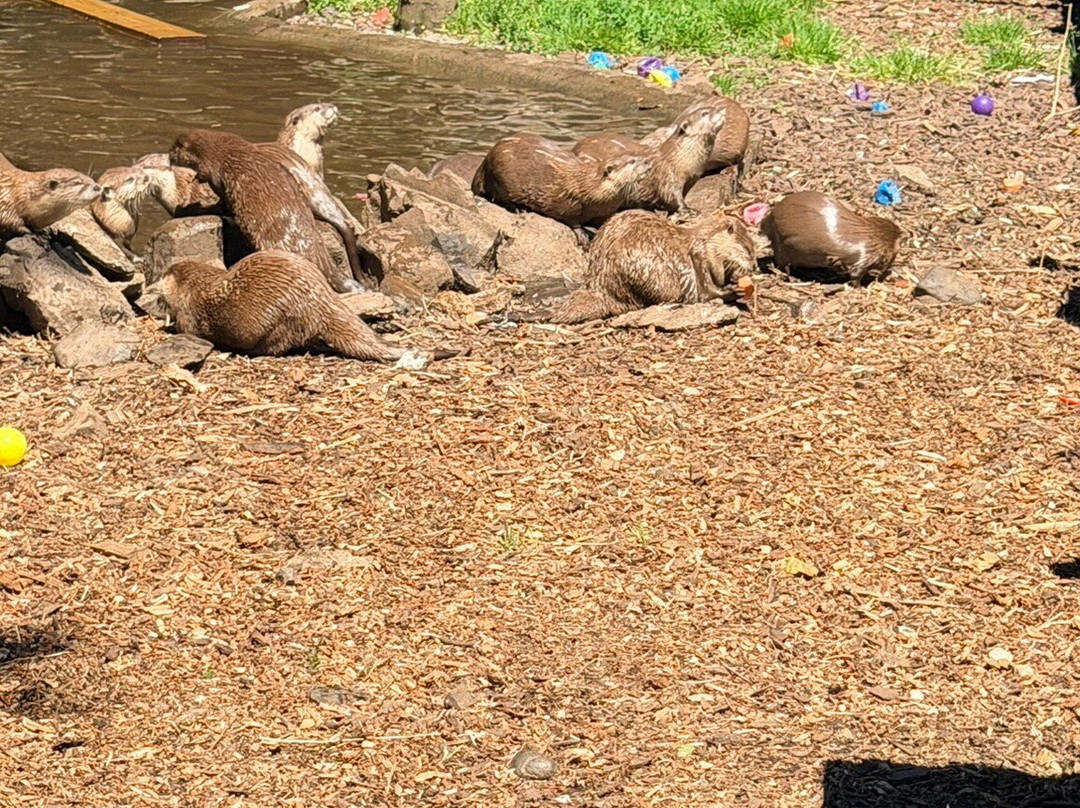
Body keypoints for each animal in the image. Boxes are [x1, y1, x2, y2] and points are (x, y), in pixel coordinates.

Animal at [148, 250, 439, 362]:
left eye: (161, 277)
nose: (155, 292)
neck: (196, 287)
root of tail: (322, 301)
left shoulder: (189, 313)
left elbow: (187, 329)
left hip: (283, 319)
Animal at [471, 134, 653, 228]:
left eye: (636, 157)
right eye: (631, 161)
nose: (647, 161)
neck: (588, 187)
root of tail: (486, 159)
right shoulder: (568, 201)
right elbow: (571, 219)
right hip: (501, 176)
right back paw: (518, 208)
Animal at [549, 209, 756, 324]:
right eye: (748, 249)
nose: (753, 266)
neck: (704, 242)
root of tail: (599, 287)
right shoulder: (699, 257)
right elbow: (706, 291)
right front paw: (732, 290)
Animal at [573, 104, 727, 214]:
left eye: (713, 107)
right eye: (705, 113)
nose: (721, 109)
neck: (682, 159)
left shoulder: (692, 178)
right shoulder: (667, 174)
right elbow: (673, 195)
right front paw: (688, 209)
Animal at [760, 191, 903, 284]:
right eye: (894, 255)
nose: (900, 231)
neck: (870, 237)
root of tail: (767, 221)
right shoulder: (864, 258)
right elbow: (855, 276)